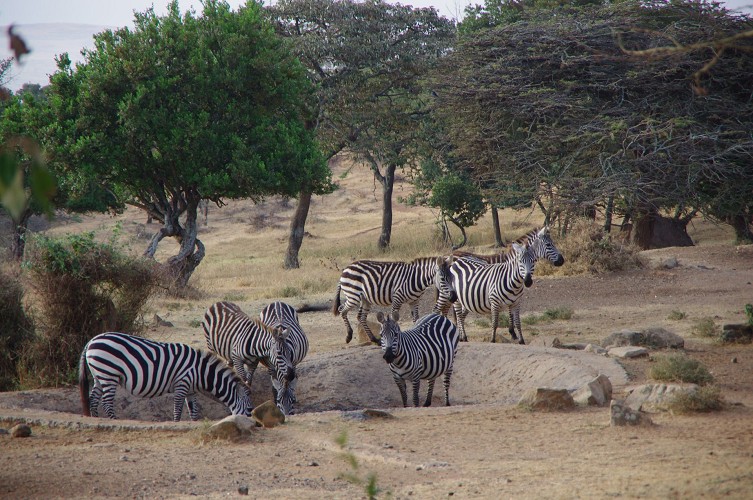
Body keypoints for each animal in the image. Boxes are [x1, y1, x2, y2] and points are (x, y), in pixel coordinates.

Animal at [79, 332, 251, 422]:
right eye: (249, 409)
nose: (254, 426)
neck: (200, 371)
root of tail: (91, 340)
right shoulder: (182, 383)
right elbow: (178, 409)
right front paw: (176, 423)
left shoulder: (191, 390)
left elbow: (194, 411)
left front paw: (193, 423)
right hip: (109, 374)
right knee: (106, 402)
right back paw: (113, 420)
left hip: (99, 375)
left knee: (93, 399)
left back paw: (96, 419)